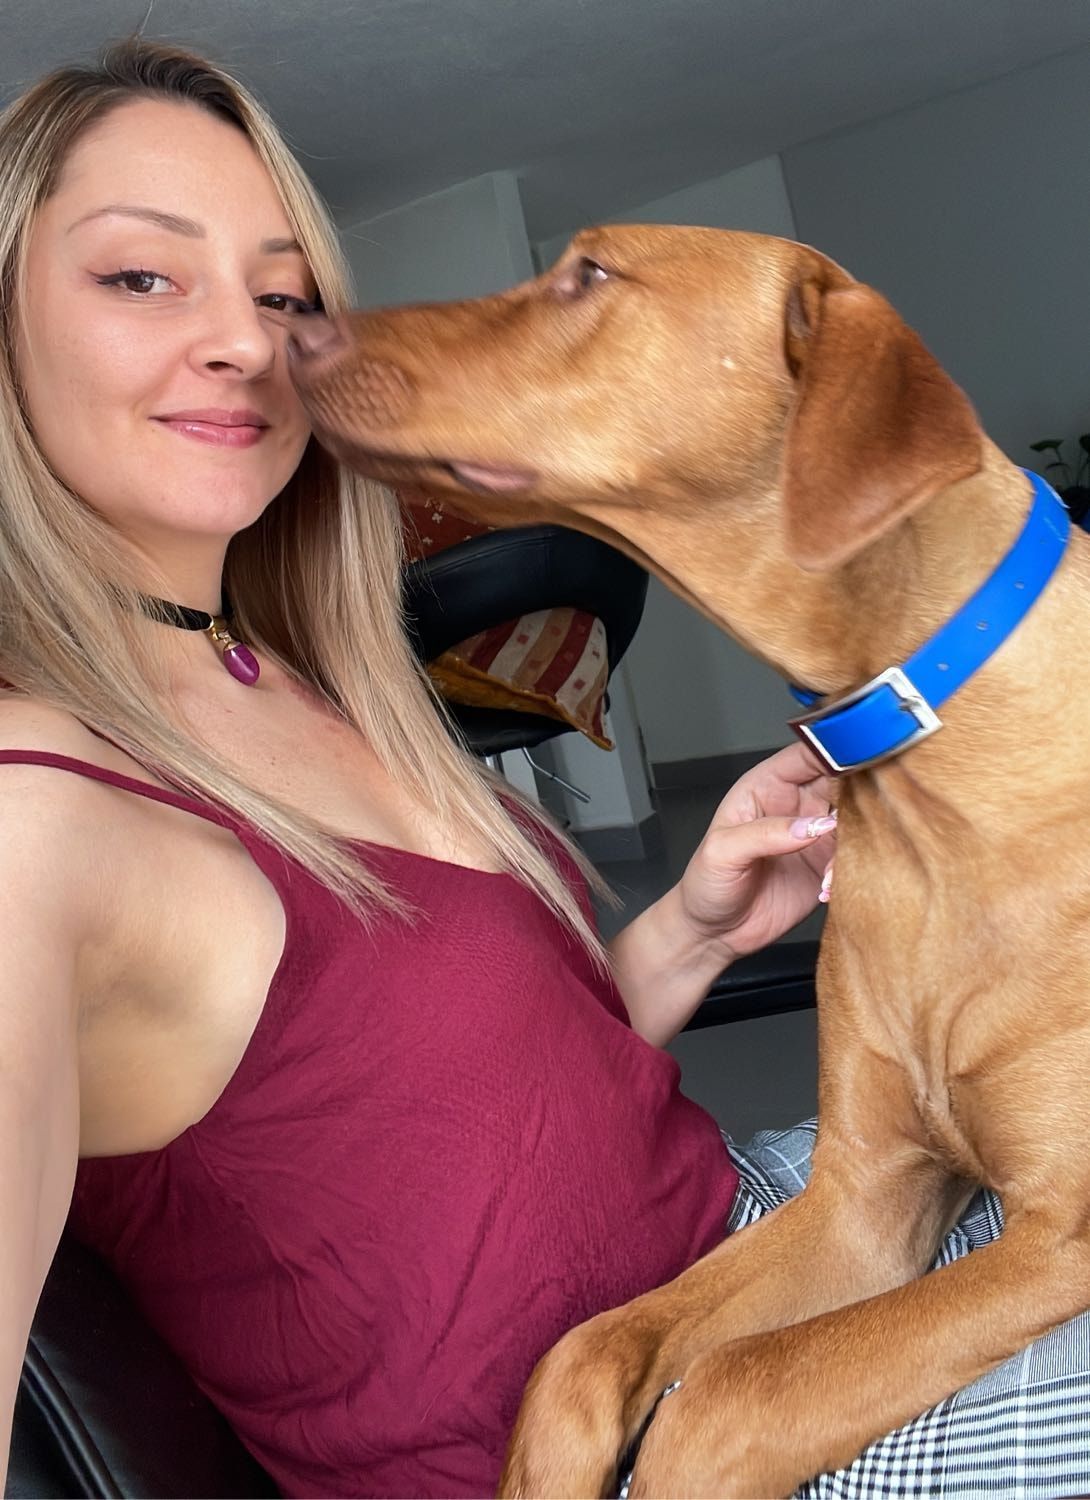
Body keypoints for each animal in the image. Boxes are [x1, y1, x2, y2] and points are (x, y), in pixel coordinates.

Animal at [289, 226, 1090, 1498]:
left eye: (589, 274)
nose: (287, 327)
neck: (930, 773)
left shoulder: (1057, 1234)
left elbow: (727, 1395)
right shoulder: (865, 1200)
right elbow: (584, 1354)